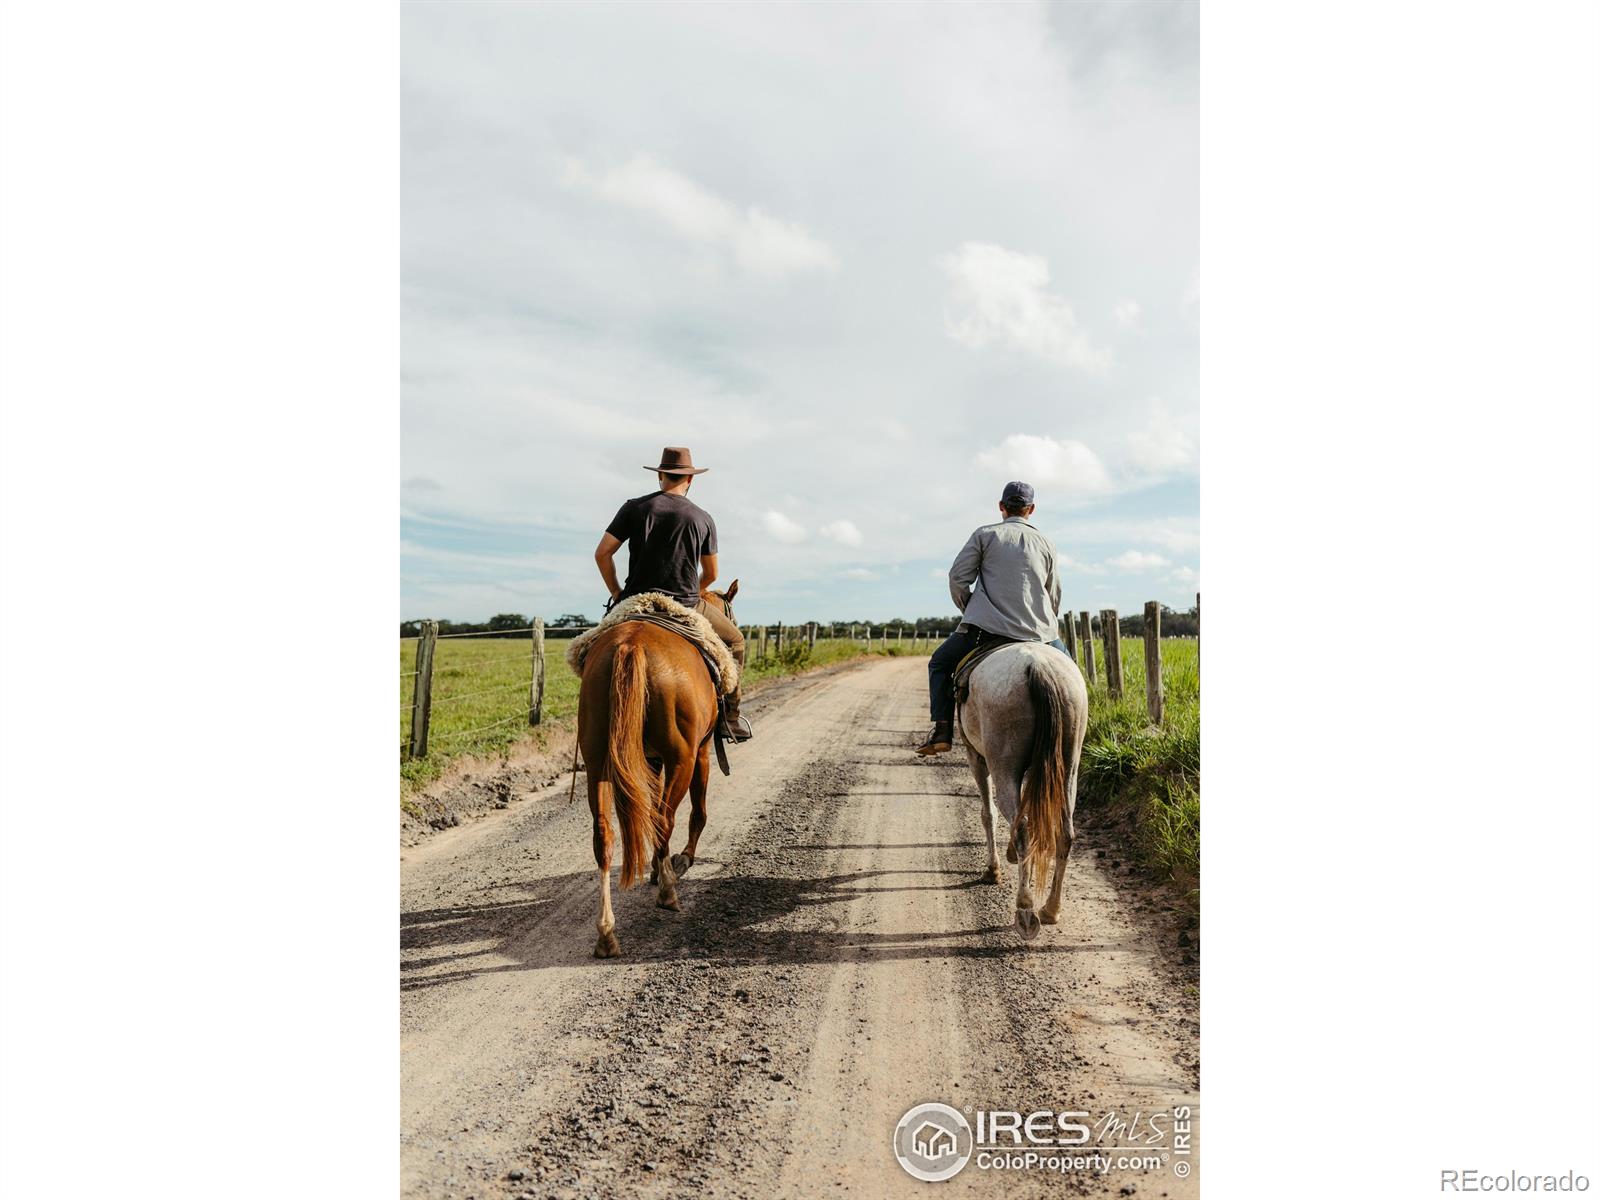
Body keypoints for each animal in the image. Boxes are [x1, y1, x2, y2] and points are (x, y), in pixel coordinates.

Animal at [582, 582, 742, 960]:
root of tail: (631, 644)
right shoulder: (700, 752)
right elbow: (698, 812)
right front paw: (680, 861)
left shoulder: (651, 761)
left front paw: (659, 865)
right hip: (681, 757)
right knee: (664, 818)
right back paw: (668, 891)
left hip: (596, 761)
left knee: (605, 835)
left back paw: (606, 933)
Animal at [953, 643, 1094, 947]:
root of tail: (1037, 667)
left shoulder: (976, 757)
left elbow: (988, 814)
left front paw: (993, 870)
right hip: (1068, 769)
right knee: (1064, 833)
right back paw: (1051, 909)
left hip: (1003, 766)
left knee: (1021, 828)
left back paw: (1026, 909)